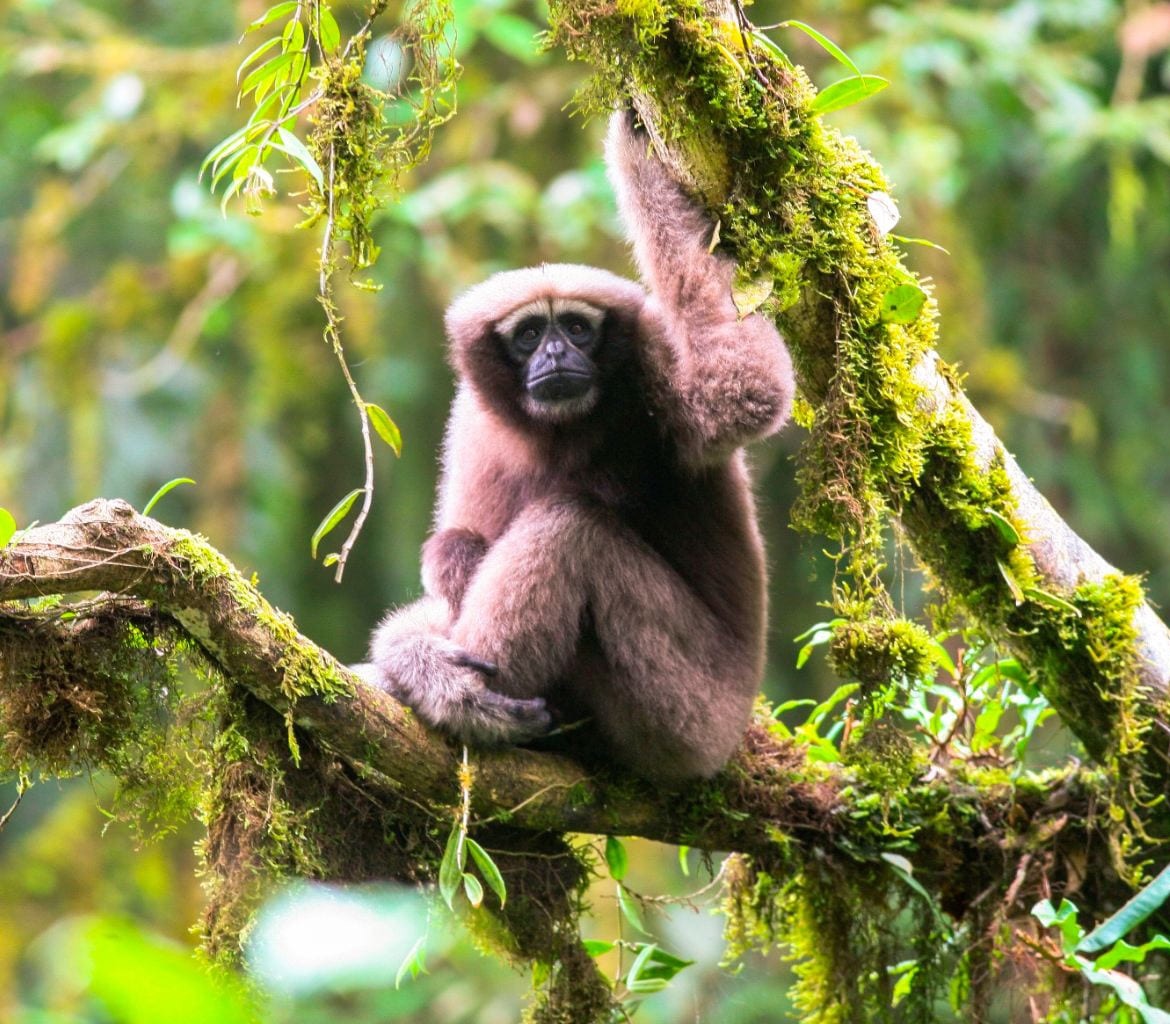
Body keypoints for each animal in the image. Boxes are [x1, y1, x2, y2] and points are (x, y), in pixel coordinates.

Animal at [359, 111, 794, 783]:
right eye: (529, 334)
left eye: (577, 328)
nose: (556, 354)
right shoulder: (473, 419)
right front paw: (415, 653)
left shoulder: (653, 365)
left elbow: (746, 387)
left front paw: (637, 153)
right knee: (456, 545)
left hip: (689, 713)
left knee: (570, 529)